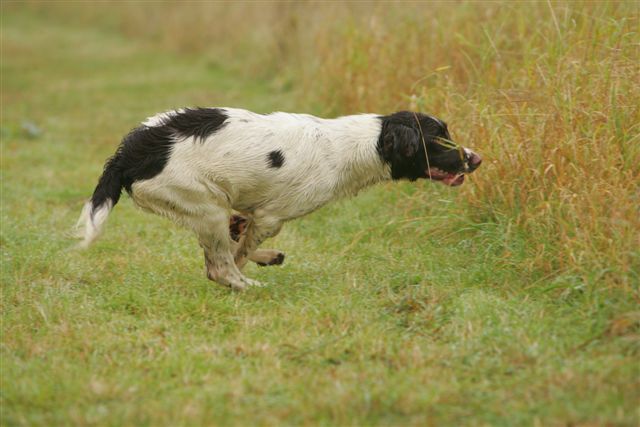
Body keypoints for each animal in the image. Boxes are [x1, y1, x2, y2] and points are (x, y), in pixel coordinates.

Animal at [76, 108, 480, 290]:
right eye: (439, 138)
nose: (476, 158)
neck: (360, 144)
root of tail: (127, 153)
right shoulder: (272, 217)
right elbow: (238, 251)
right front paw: (252, 264)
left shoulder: (247, 211)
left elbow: (239, 235)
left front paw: (267, 256)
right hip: (205, 205)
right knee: (219, 269)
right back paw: (248, 286)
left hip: (207, 207)